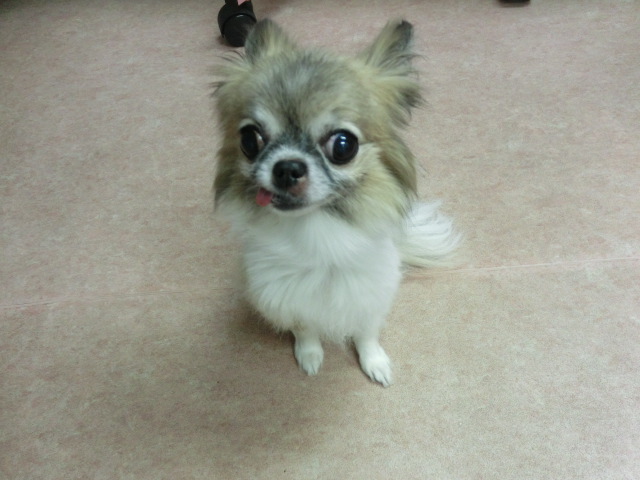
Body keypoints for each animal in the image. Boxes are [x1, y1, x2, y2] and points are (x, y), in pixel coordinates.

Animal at [213, 19, 459, 386]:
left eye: (343, 145)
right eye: (250, 139)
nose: (287, 167)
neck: (318, 232)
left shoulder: (369, 291)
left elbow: (366, 332)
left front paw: (374, 361)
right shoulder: (289, 296)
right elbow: (305, 328)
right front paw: (310, 354)